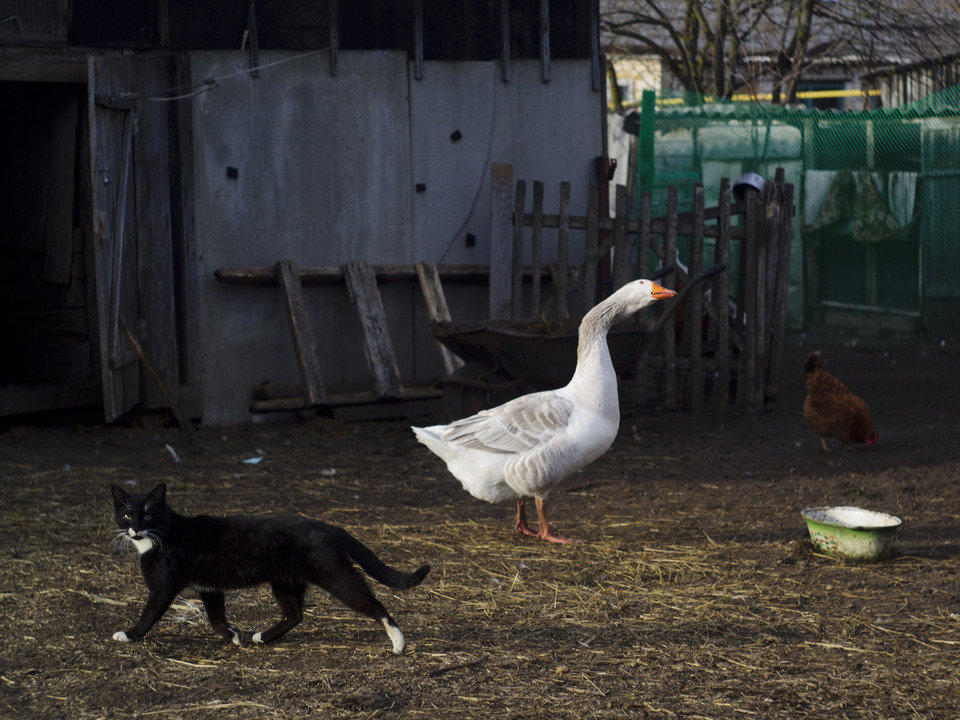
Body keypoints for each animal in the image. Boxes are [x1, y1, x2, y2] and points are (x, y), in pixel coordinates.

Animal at [110, 480, 430, 656]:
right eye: (125, 514)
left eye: (147, 514)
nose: (134, 528)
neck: (163, 534)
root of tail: (330, 526)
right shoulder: (210, 588)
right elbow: (216, 619)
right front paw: (235, 636)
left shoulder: (164, 587)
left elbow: (150, 614)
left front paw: (129, 634)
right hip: (284, 582)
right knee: (295, 614)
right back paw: (262, 636)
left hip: (337, 577)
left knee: (375, 604)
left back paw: (398, 643)